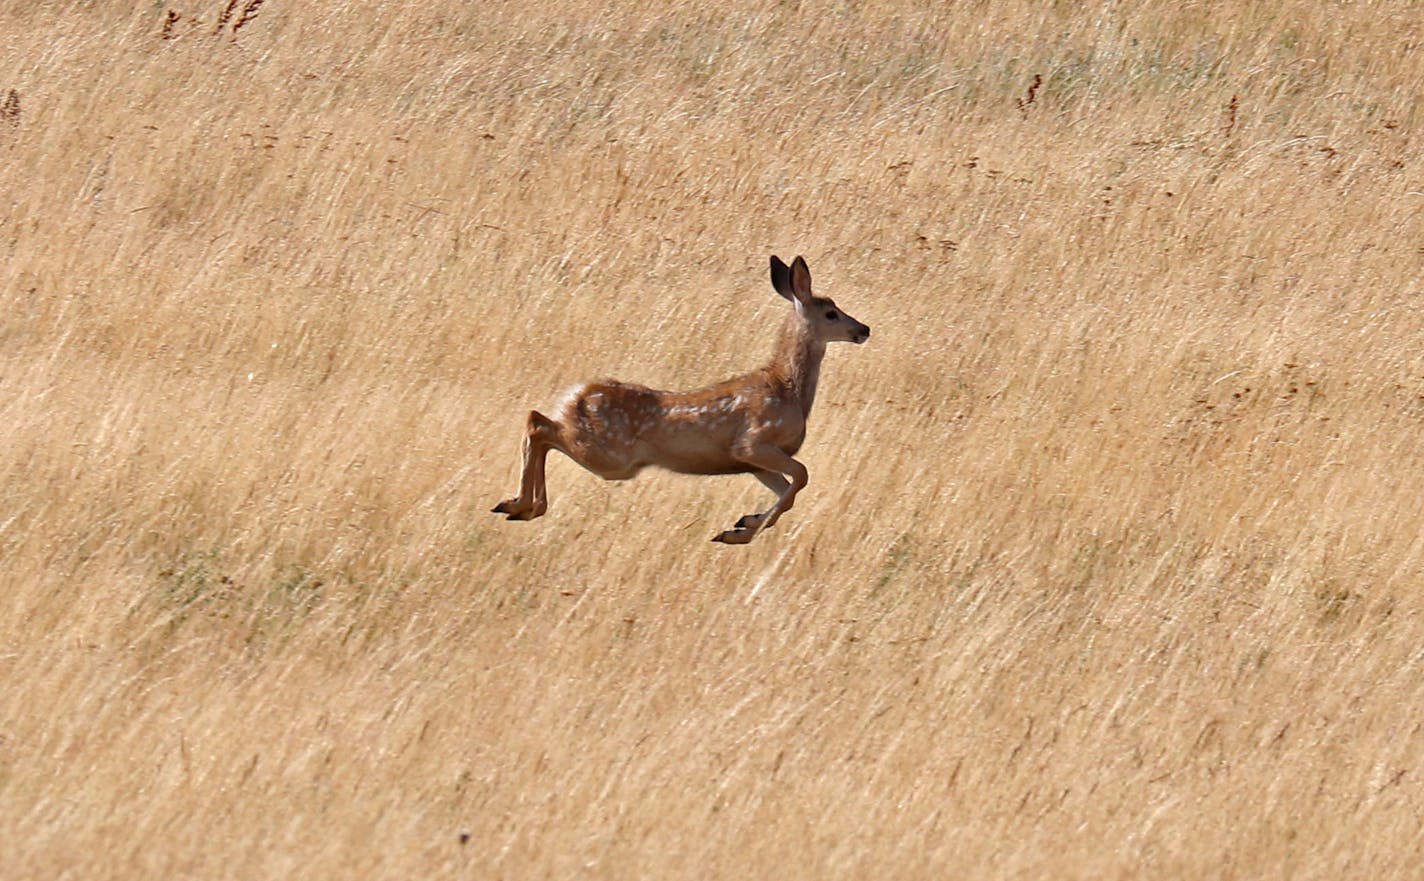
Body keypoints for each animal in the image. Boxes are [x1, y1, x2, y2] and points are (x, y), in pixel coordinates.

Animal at [489, 254, 865, 543]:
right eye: (831, 313)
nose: (864, 330)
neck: (787, 388)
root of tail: (574, 395)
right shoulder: (752, 443)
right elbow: (801, 477)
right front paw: (739, 532)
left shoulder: (752, 463)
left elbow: (785, 492)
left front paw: (744, 523)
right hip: (609, 455)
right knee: (538, 424)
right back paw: (521, 506)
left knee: (538, 423)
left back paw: (519, 506)